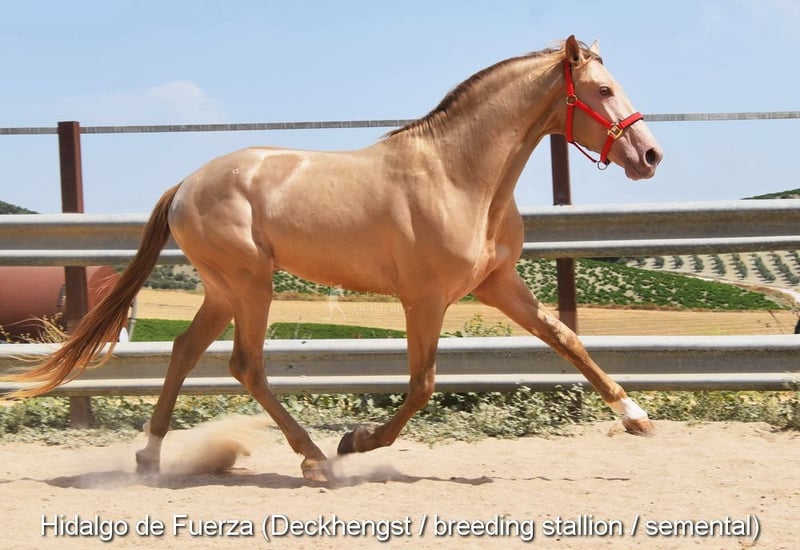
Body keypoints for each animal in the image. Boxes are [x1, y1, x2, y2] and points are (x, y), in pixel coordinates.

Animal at [5, 36, 662, 482]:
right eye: (604, 90)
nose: (651, 155)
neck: (460, 175)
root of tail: (186, 184)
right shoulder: (424, 299)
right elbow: (422, 385)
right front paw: (356, 440)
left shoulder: (498, 284)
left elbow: (566, 339)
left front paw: (635, 416)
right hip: (251, 283)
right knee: (246, 364)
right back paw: (317, 458)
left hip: (223, 288)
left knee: (186, 351)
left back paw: (149, 457)